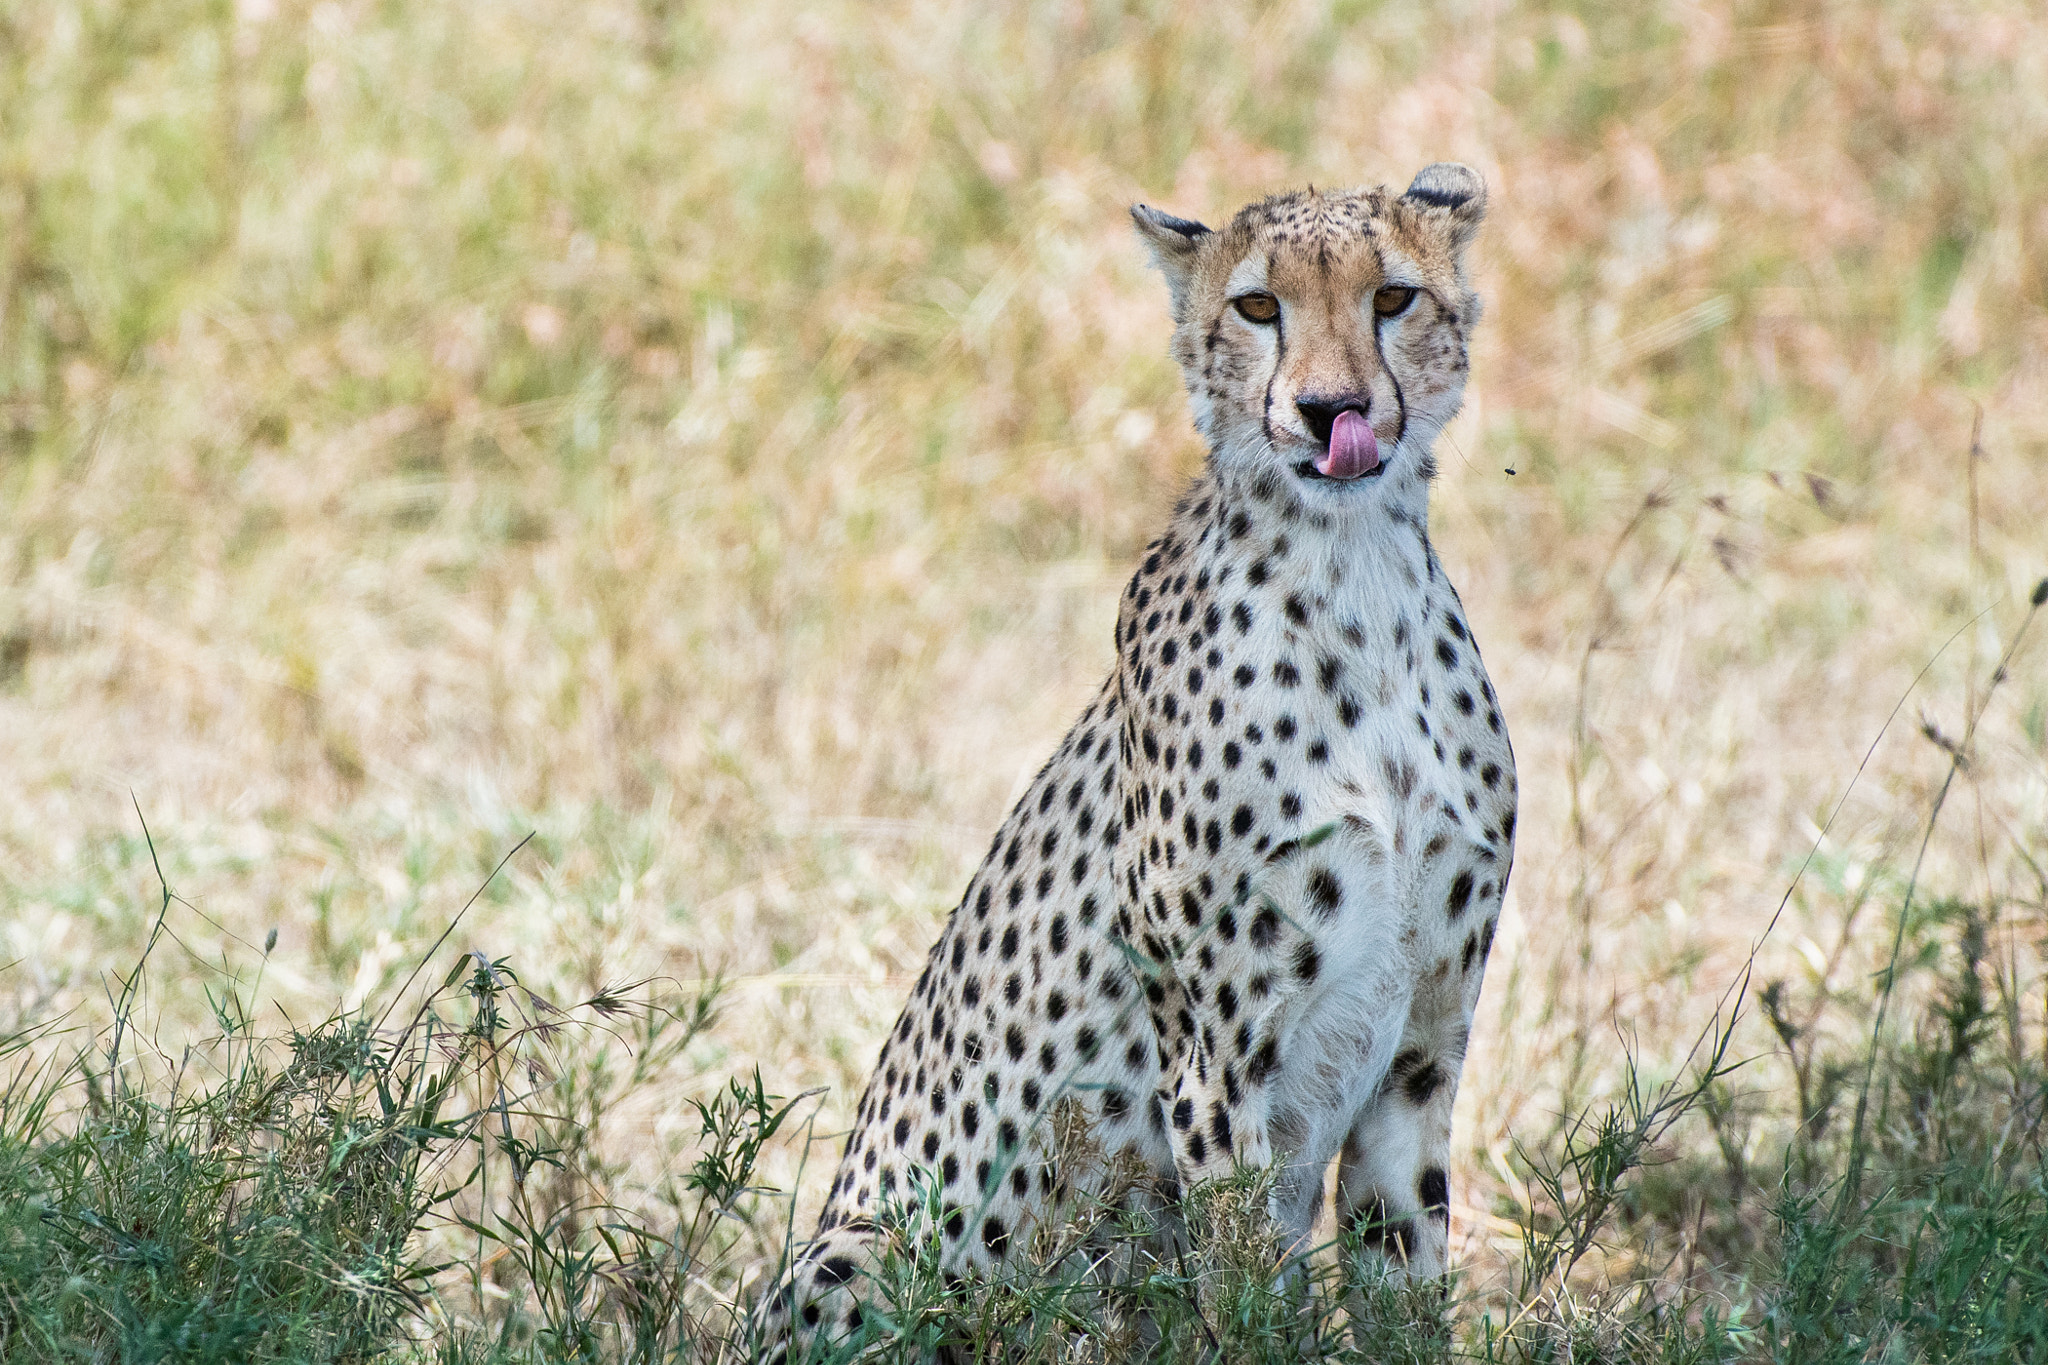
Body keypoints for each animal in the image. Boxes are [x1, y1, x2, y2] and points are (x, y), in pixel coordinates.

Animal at [756, 163, 1516, 1357]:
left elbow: (1402, 1271)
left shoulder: (1418, 1051)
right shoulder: (1214, 1058)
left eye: (1392, 298)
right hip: (857, 1253)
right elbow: (1245, 1284)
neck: (1353, 572)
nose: (1331, 410)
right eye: (1258, 307)